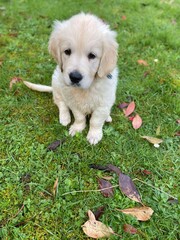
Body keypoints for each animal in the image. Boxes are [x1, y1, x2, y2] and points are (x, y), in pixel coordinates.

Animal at [24, 13, 119, 144]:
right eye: (67, 51)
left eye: (92, 55)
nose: (75, 77)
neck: (87, 88)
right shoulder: (72, 101)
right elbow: (79, 116)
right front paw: (77, 128)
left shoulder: (103, 102)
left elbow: (96, 120)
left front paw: (94, 134)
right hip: (57, 83)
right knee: (60, 103)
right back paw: (64, 117)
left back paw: (108, 117)